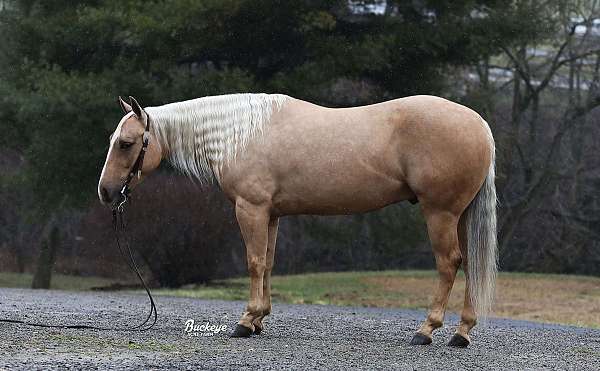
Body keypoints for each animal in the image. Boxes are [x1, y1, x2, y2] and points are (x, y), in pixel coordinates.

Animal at [99, 93, 496, 348]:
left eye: (126, 143)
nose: (106, 192)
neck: (241, 135)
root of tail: (479, 124)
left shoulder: (251, 208)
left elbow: (254, 262)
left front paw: (245, 321)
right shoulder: (271, 214)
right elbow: (269, 262)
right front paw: (259, 319)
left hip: (440, 213)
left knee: (449, 264)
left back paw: (426, 330)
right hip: (460, 216)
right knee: (470, 264)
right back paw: (461, 333)